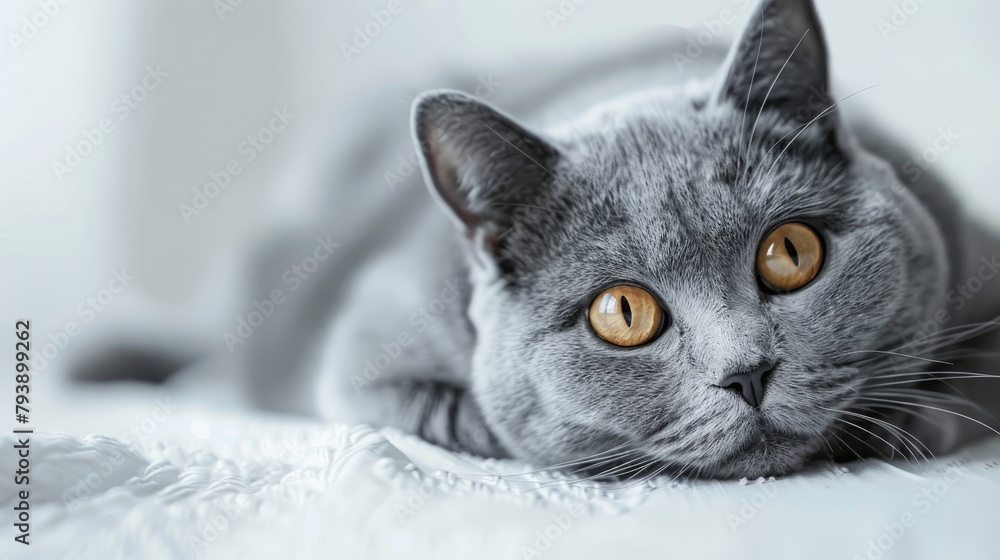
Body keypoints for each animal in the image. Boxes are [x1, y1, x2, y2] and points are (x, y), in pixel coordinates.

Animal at [84, 1, 1000, 482]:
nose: (748, 372)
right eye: (623, 313)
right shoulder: (363, 345)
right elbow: (450, 416)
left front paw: (904, 420)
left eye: (790, 254)